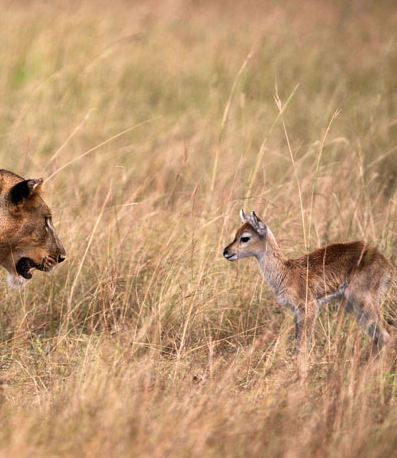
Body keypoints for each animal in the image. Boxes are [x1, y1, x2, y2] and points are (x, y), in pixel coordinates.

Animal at [223, 209, 392, 352]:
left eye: (245, 237)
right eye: (236, 234)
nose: (226, 252)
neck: (286, 272)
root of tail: (384, 260)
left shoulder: (309, 307)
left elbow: (303, 345)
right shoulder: (297, 312)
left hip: (363, 301)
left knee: (387, 335)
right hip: (353, 306)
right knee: (378, 336)